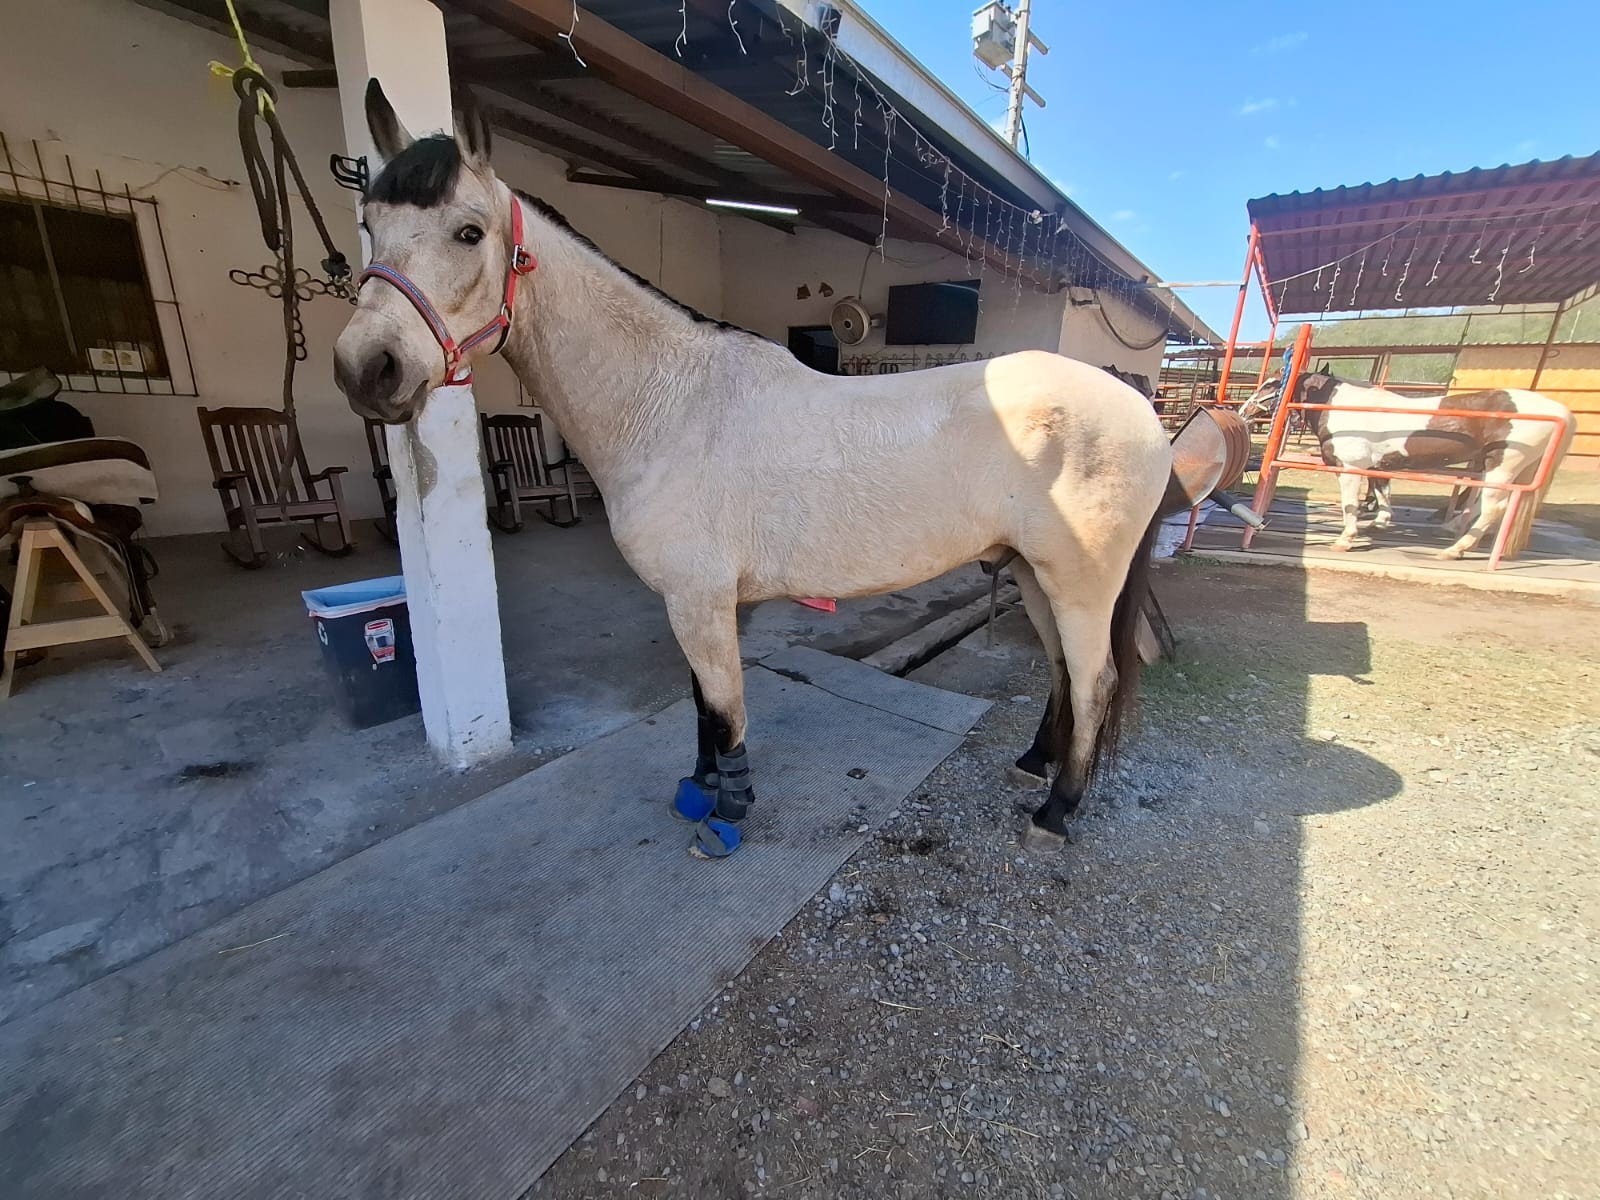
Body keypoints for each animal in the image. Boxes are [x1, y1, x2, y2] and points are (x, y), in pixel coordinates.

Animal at [333, 81, 1175, 857]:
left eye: (468, 231)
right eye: (369, 224)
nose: (366, 370)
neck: (670, 405)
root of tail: (1143, 411)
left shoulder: (700, 600)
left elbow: (726, 708)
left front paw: (727, 815)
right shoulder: (698, 600)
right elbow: (704, 706)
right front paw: (699, 789)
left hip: (1077, 581)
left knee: (1094, 680)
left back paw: (1055, 813)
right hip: (1033, 572)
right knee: (1062, 670)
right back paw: (1034, 764)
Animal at [1239, 368, 1575, 559]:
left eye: (1272, 385)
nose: (1244, 409)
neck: (1343, 408)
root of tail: (1560, 410)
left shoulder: (1351, 466)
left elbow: (1351, 503)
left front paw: (1346, 539)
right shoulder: (1376, 465)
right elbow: (1381, 491)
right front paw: (1380, 521)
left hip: (1501, 465)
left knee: (1494, 507)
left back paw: (1456, 548)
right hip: (1505, 468)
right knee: (1487, 505)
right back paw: (1457, 533)